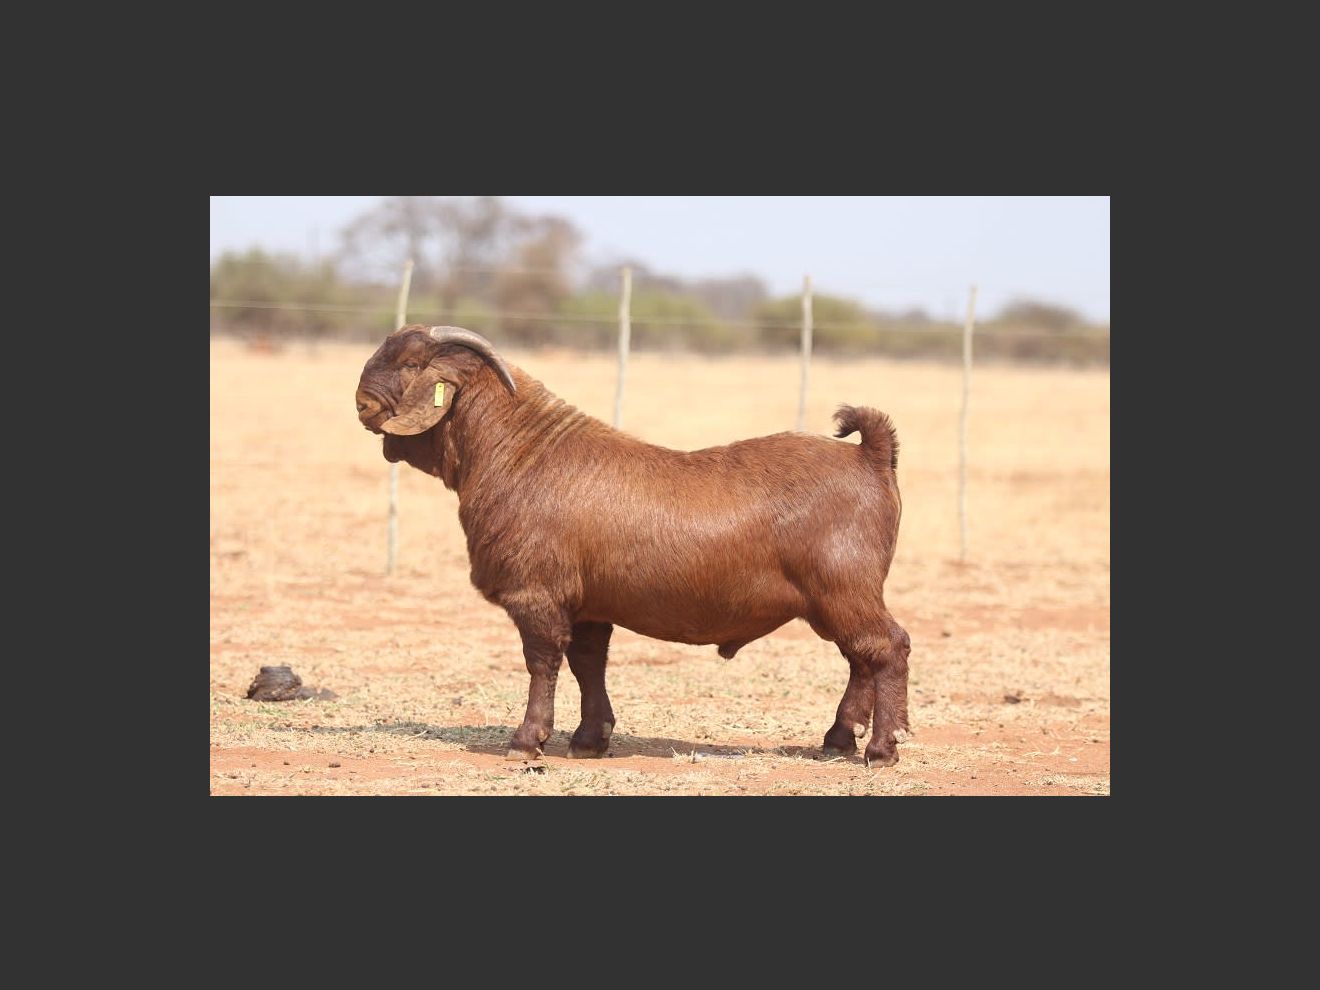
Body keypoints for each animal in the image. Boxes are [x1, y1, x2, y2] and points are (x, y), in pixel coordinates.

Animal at [355, 325, 911, 767]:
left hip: (845, 589)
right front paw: (589, 739)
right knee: (861, 658)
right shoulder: (588, 607)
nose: (361, 403)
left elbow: (542, 663)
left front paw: (527, 740)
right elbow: (588, 664)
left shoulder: (536, 595)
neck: (520, 453)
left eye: (410, 363)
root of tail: (869, 455)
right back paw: (839, 739)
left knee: (887, 647)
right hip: (833, 601)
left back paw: (880, 748)